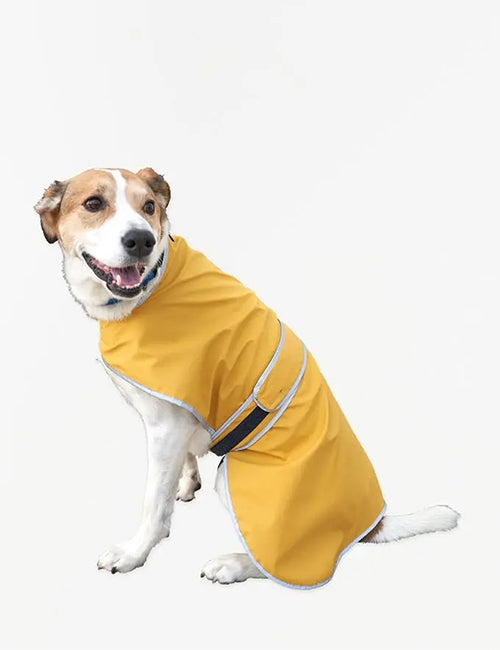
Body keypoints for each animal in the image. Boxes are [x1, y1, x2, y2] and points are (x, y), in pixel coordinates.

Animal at [35, 167, 459, 588]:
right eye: (94, 203)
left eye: (149, 206)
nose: (142, 239)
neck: (156, 283)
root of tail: (370, 525)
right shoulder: (178, 423)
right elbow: (182, 465)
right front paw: (185, 485)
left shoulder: (165, 427)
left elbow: (153, 503)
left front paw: (134, 552)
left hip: (235, 478)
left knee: (278, 559)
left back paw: (233, 564)